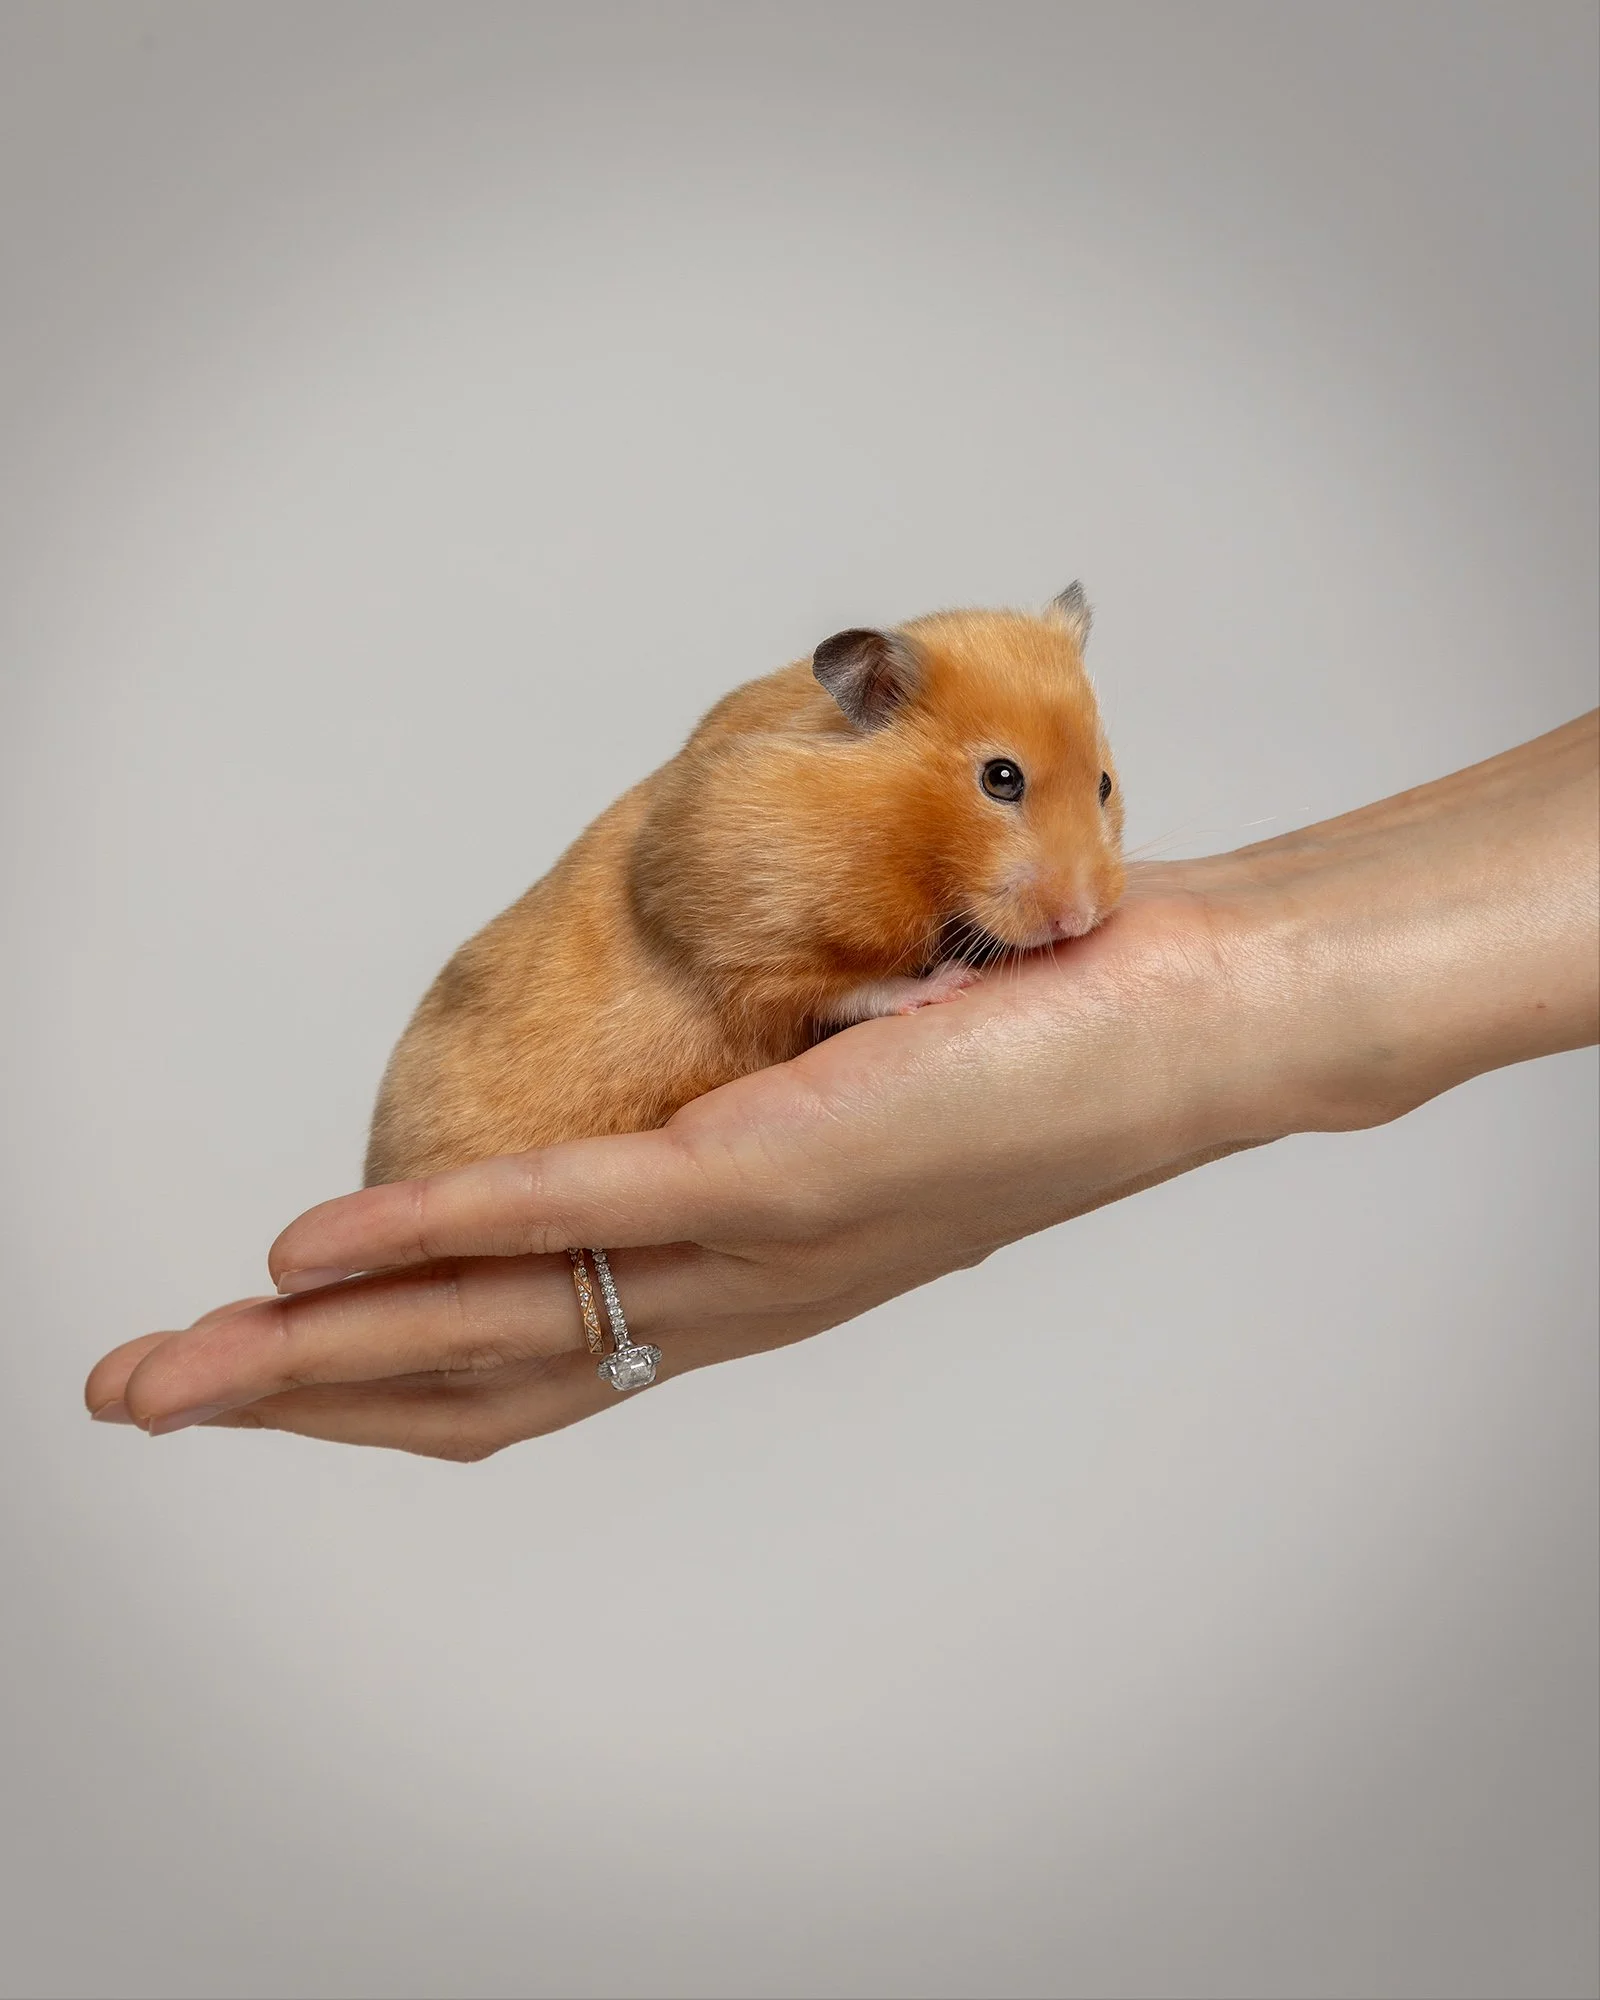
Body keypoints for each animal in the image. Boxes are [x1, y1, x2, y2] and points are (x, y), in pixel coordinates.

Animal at [364, 585, 1124, 1185]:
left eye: (1105, 784)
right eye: (1001, 778)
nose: (1079, 919)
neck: (905, 831)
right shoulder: (747, 939)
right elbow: (846, 991)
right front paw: (945, 984)